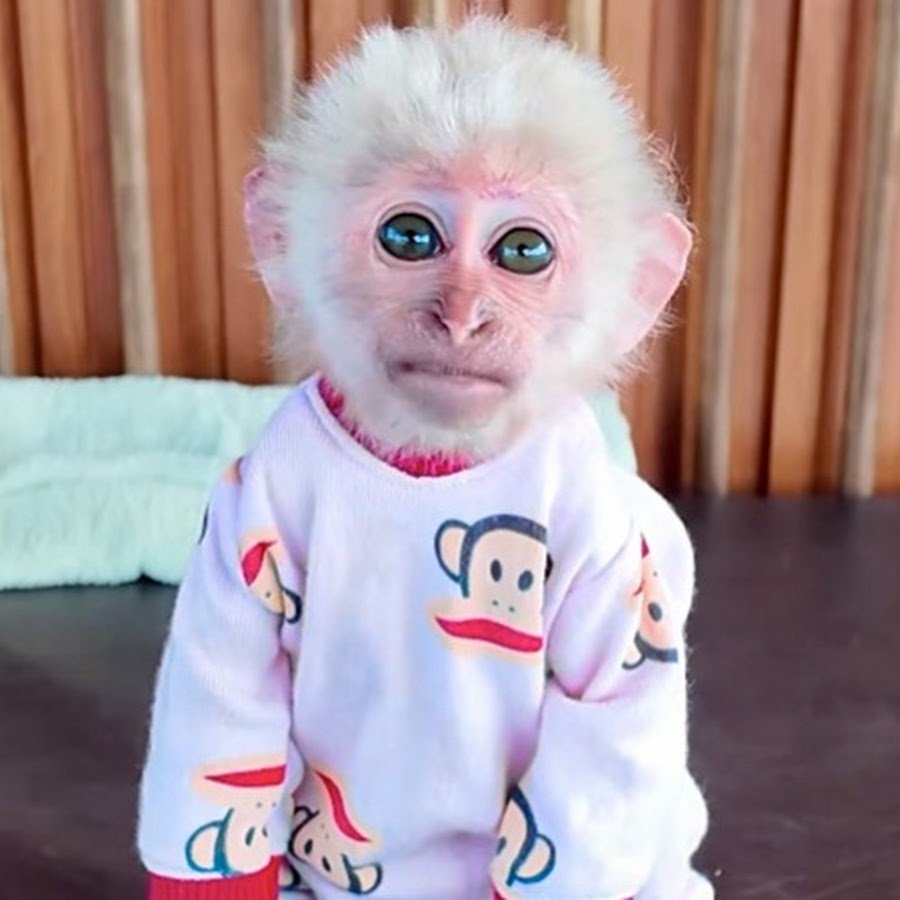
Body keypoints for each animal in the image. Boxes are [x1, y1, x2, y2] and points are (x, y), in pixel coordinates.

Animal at [138, 16, 712, 900]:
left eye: (522, 252)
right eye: (410, 238)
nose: (462, 315)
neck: (437, 465)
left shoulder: (618, 561)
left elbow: (600, 734)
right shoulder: (239, 518)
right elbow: (222, 702)